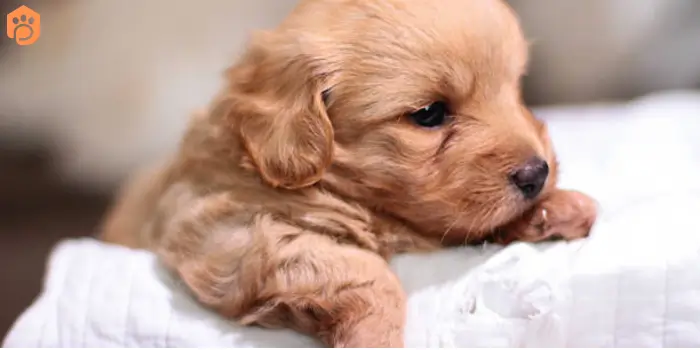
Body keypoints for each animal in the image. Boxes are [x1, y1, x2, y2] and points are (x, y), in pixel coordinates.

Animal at [102, 0, 596, 348]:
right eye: (430, 114)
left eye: (515, 90)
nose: (536, 172)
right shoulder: (222, 232)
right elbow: (363, 270)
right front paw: (374, 333)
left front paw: (554, 208)